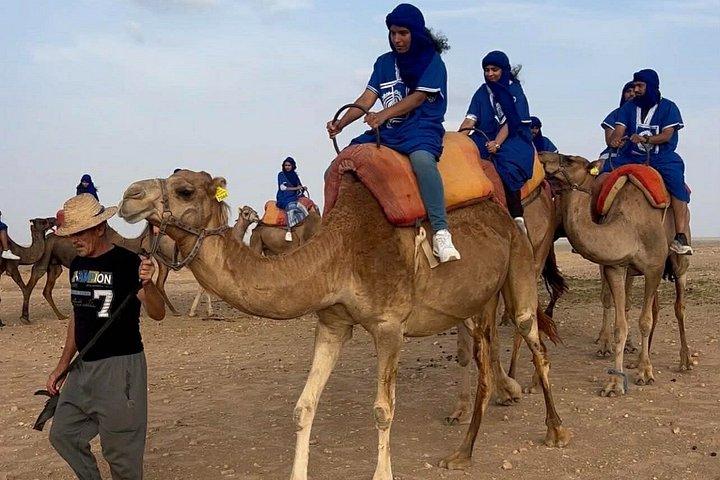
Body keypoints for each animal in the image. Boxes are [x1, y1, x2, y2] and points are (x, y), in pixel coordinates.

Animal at [119, 170, 569, 480]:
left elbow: (383, 409)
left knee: (535, 342)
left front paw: (383, 474)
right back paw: (463, 451)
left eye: (185, 190)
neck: (340, 254)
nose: (128, 196)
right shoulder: (333, 323)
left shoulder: (389, 326)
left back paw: (556, 432)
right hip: (478, 301)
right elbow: (303, 407)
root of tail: (505, 216)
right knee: (482, 361)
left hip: (519, 266)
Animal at [540, 152, 691, 397]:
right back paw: (637, 359)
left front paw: (645, 373)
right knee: (655, 308)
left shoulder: (654, 268)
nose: (542, 156)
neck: (629, 227)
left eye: (569, 159)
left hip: (679, 261)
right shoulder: (616, 267)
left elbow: (645, 321)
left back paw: (685, 360)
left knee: (679, 306)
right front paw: (615, 383)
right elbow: (621, 325)